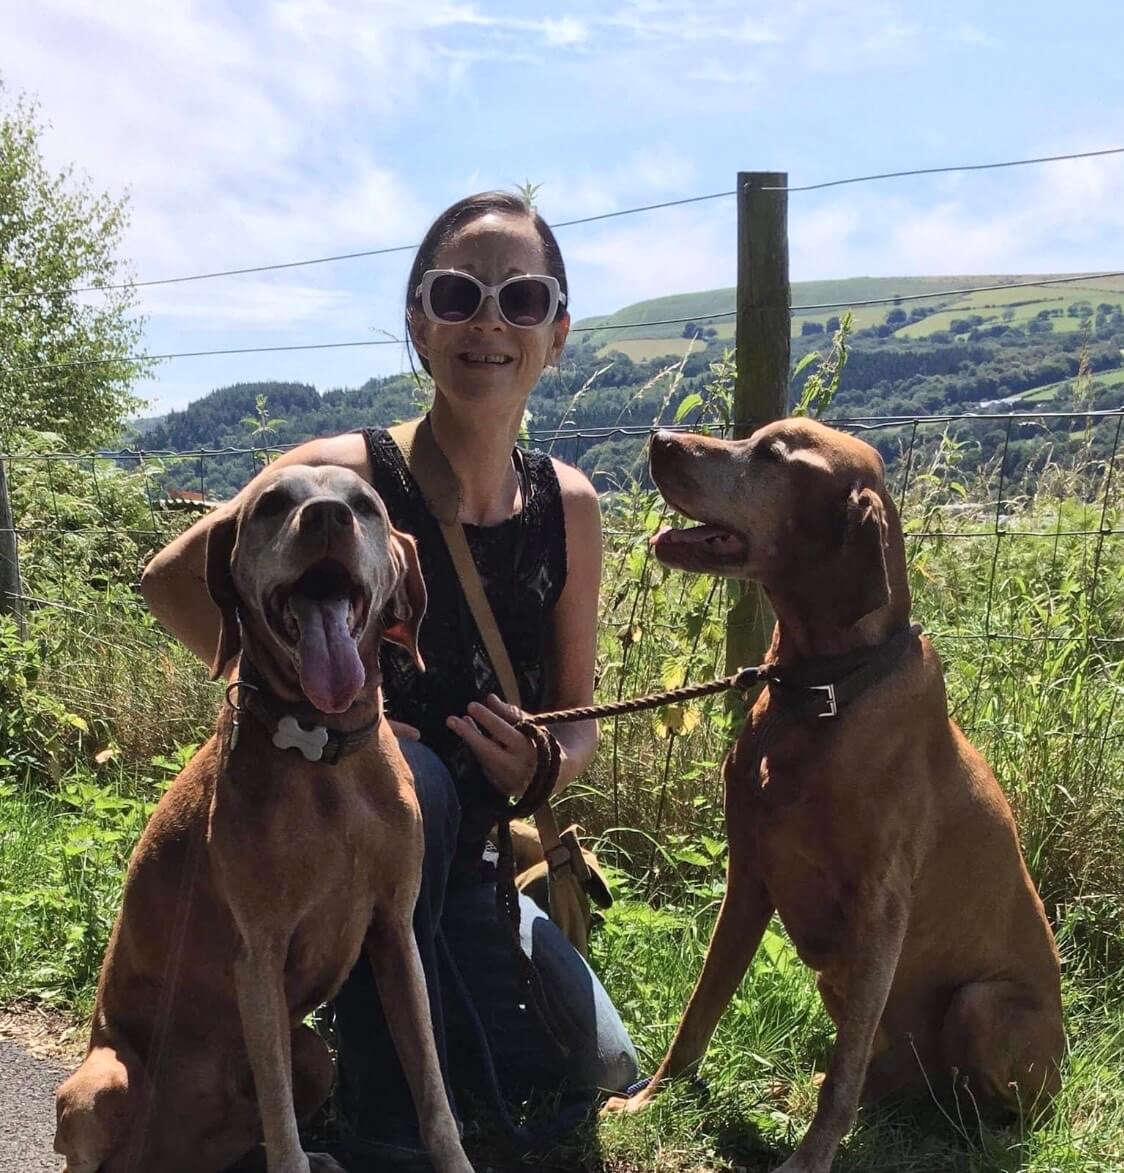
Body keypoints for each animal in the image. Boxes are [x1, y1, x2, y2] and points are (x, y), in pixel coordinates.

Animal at [55, 466, 474, 1173]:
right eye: (273, 503)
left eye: (366, 506)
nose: (328, 517)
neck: (322, 752)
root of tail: (167, 1157)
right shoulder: (258, 956)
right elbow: (282, 1129)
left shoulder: (396, 932)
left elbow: (432, 1087)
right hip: (99, 1086)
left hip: (313, 1054)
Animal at [605, 422, 1065, 1173]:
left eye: (772, 455)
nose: (659, 437)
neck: (821, 689)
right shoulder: (750, 875)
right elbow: (701, 1007)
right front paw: (651, 1098)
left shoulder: (880, 908)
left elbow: (843, 1070)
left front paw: (811, 1156)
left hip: (981, 1005)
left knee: (982, 1101)